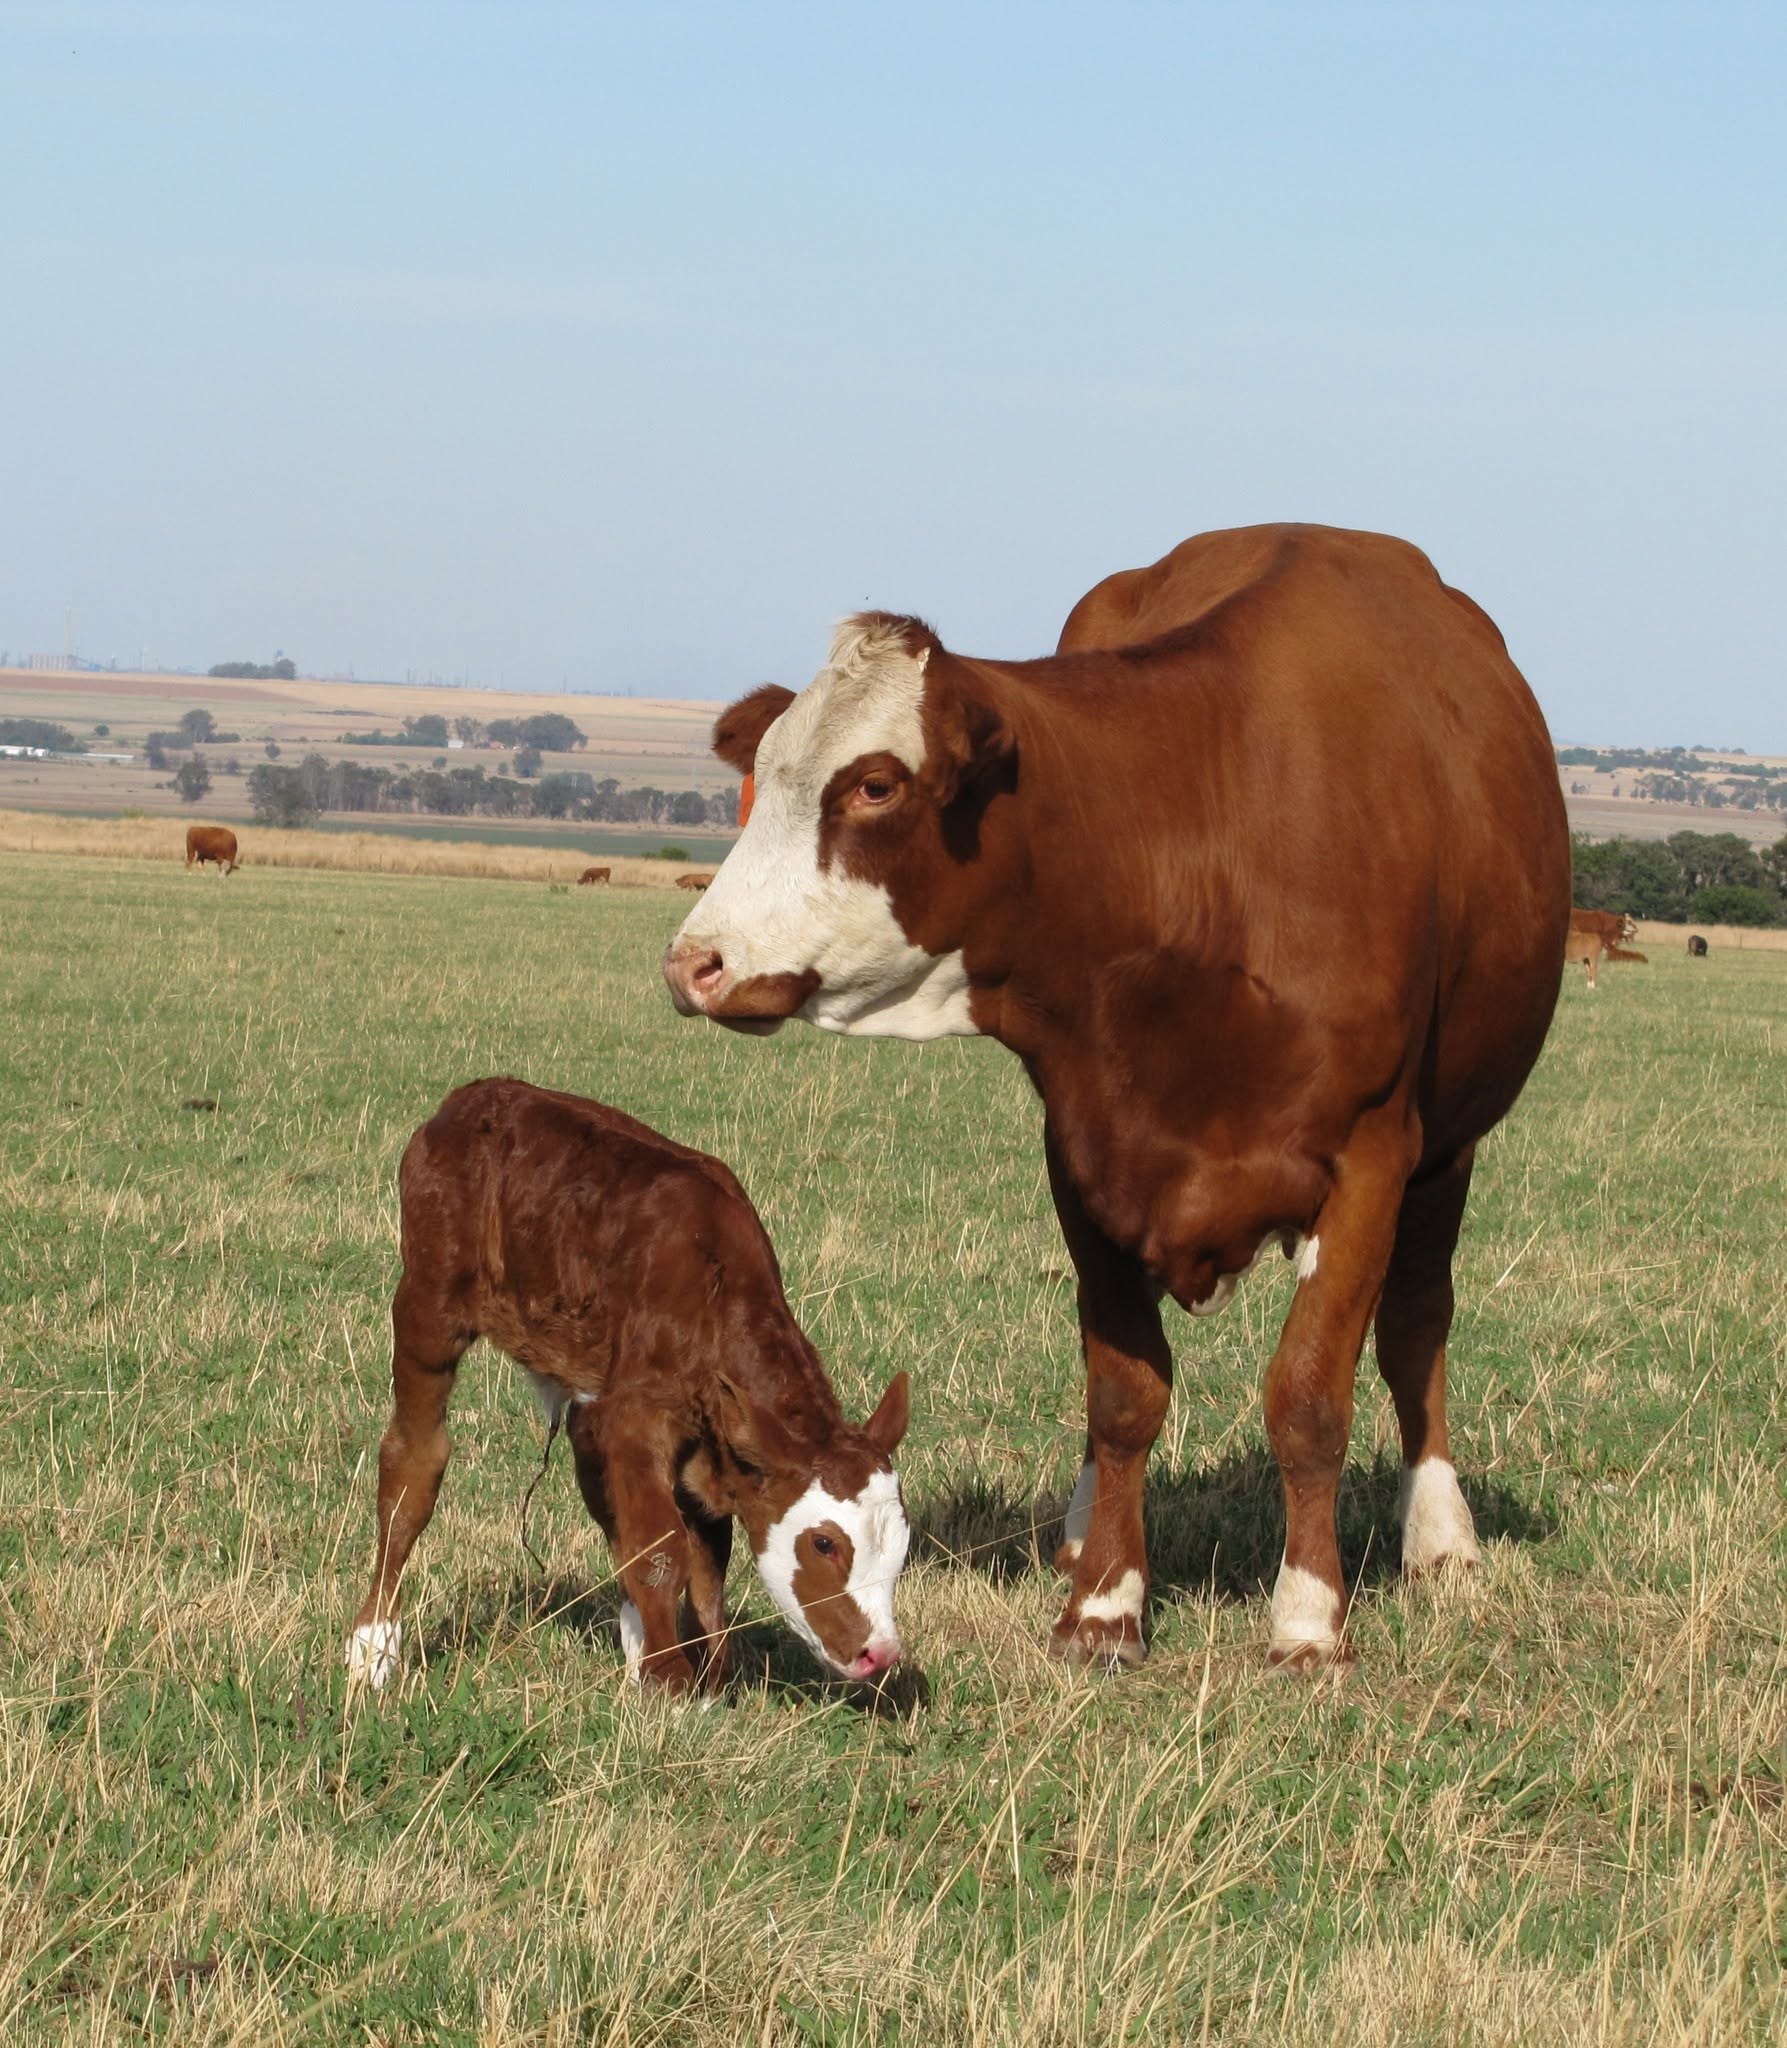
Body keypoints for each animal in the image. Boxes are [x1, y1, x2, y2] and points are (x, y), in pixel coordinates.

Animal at [346, 1078, 911, 1696]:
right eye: (824, 1543)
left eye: (904, 1543)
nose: (879, 1654)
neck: (713, 1296)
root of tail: (475, 1094)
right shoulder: (636, 1416)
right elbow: (661, 1547)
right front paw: (672, 1680)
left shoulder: (702, 1439)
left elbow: (707, 1556)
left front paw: (712, 1675)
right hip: (428, 1303)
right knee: (412, 1465)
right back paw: (373, 1648)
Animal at [663, 523, 1570, 1673]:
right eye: (763, 778)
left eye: (872, 785)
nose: (694, 964)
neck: (1195, 846)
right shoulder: (1081, 1148)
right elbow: (1122, 1391)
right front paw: (1104, 1599)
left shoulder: (1373, 1151)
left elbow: (1311, 1393)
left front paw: (1309, 1616)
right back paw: (1083, 1527)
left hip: (1450, 1149)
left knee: (1417, 1324)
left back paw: (1441, 1537)